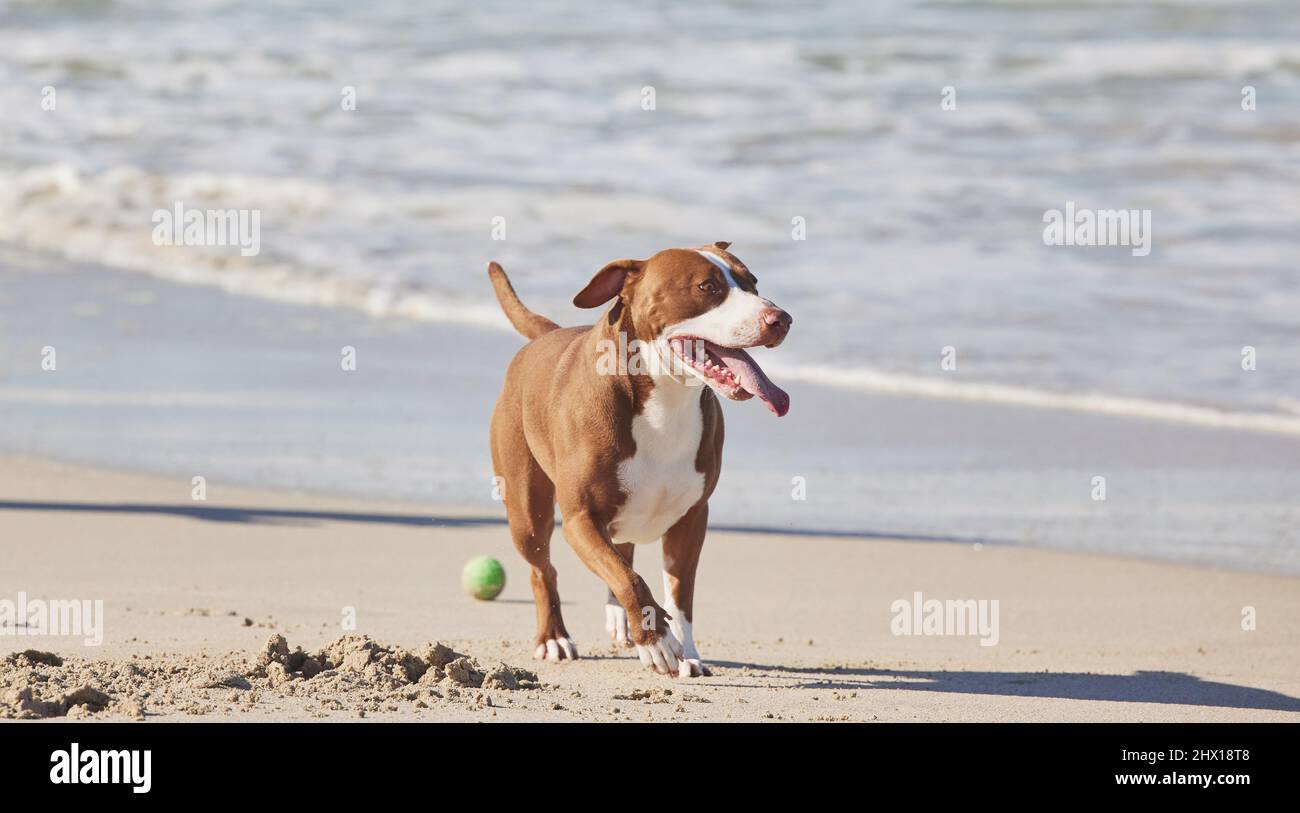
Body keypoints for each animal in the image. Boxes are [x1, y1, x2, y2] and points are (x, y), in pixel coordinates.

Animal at [488, 244, 790, 676]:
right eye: (708, 287)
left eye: (753, 283)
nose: (781, 319)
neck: (667, 397)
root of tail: (546, 336)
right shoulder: (581, 519)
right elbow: (630, 579)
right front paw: (656, 640)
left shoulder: (691, 520)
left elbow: (678, 596)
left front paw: (687, 653)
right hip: (526, 511)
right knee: (543, 568)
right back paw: (554, 637)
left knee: (622, 551)